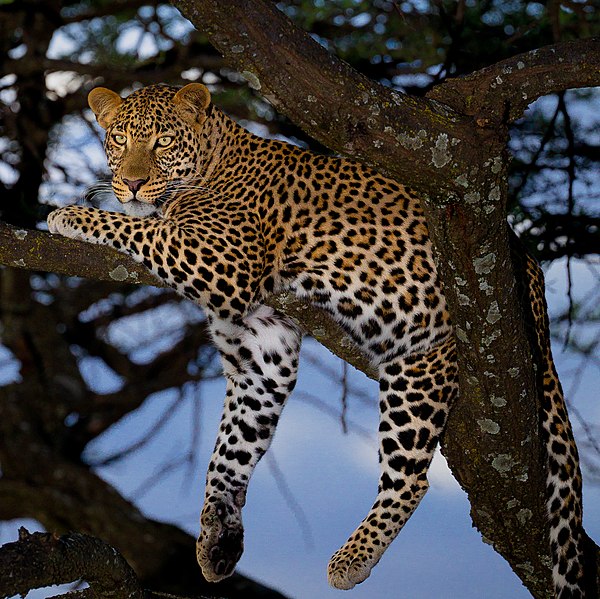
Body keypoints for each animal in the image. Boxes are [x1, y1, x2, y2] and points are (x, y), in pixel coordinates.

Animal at [45, 82, 584, 596]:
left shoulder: (221, 258)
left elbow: (139, 229)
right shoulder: (262, 349)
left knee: (412, 477)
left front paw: (69, 215)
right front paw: (217, 535)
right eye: (119, 139)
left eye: (162, 142)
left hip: (421, 365)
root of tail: (529, 273)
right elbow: (229, 450)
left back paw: (352, 558)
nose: (133, 183)